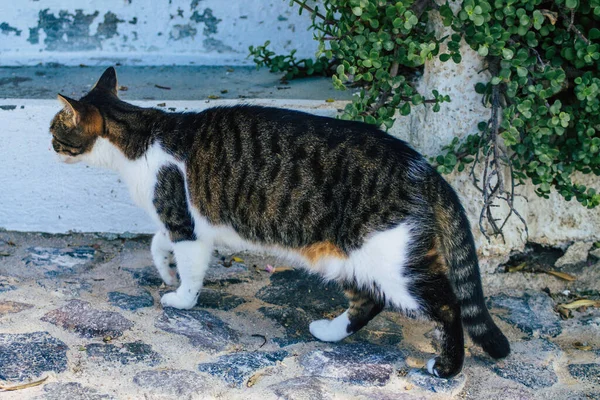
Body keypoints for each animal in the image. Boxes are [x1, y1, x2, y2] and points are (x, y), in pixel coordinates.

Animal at [51, 66, 508, 378]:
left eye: (56, 130)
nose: (48, 145)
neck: (141, 137)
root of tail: (424, 168)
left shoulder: (185, 223)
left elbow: (190, 268)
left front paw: (181, 298)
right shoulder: (182, 223)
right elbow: (156, 243)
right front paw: (165, 272)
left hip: (392, 259)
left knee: (446, 305)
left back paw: (447, 367)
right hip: (344, 258)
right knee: (368, 300)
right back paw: (329, 332)